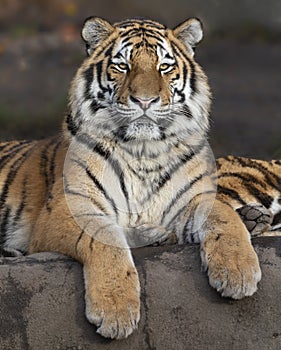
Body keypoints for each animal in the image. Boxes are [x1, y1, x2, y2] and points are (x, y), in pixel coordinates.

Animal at [0, 16, 280, 340]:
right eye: (122, 66)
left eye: (164, 66)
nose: (144, 101)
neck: (143, 151)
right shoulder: (69, 208)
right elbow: (105, 238)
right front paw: (115, 309)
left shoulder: (192, 198)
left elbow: (223, 216)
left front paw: (238, 270)